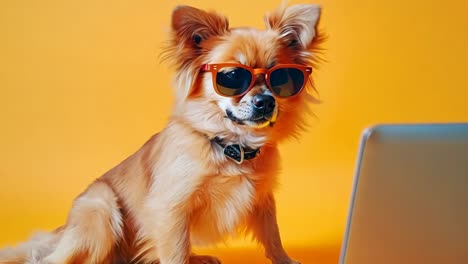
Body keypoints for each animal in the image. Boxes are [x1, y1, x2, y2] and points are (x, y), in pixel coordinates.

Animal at [0, 2, 322, 264]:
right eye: (232, 76)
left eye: (282, 78)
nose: (265, 101)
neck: (230, 146)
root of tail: (63, 231)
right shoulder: (170, 209)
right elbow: (175, 252)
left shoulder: (262, 200)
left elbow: (273, 235)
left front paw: (285, 260)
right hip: (100, 209)